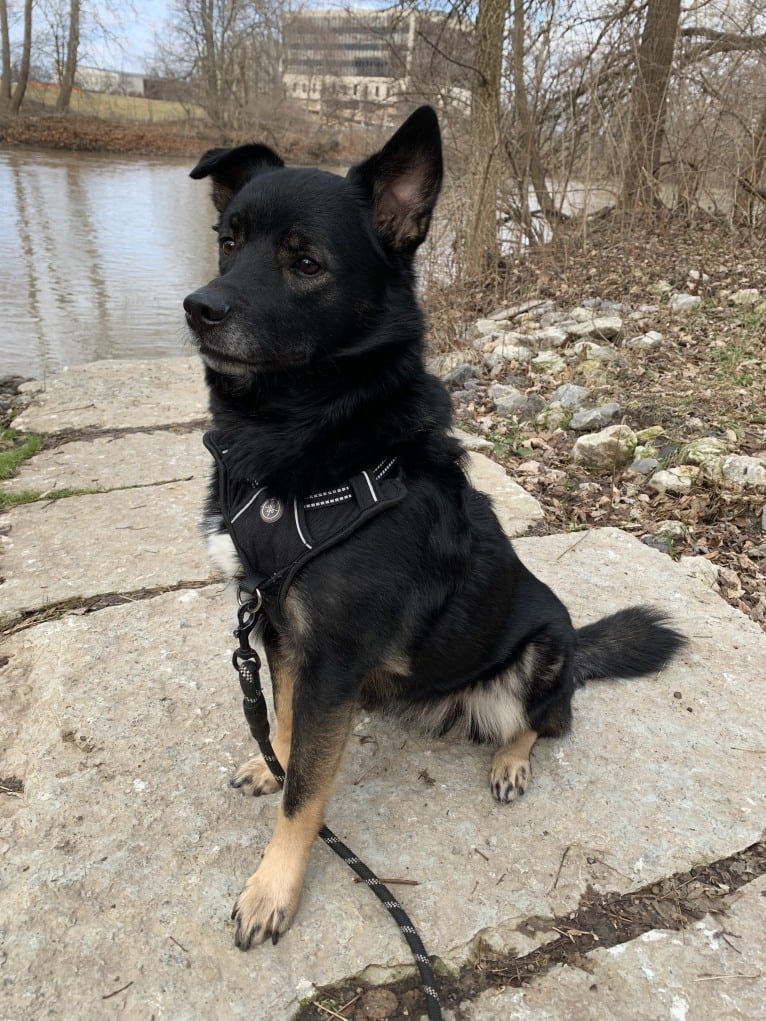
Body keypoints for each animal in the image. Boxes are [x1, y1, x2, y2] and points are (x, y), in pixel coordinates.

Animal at [182, 105, 686, 947]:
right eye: (228, 239)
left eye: (305, 262)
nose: (200, 308)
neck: (308, 434)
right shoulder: (280, 632)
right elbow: (281, 717)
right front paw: (270, 759)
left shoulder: (332, 659)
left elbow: (305, 793)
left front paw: (272, 886)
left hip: (542, 650)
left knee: (550, 718)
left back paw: (512, 759)